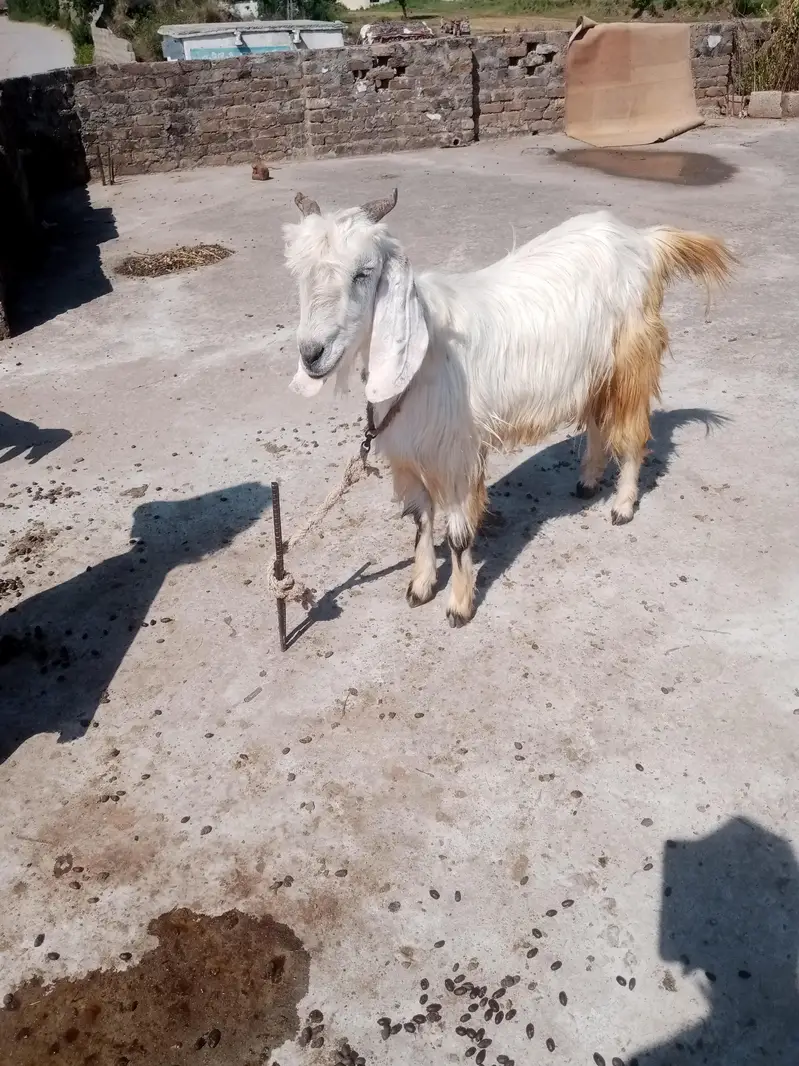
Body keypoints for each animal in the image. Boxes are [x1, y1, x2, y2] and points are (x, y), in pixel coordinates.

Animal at [284, 190, 733, 627]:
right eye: (301, 273)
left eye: (364, 272)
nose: (311, 354)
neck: (426, 351)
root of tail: (642, 240)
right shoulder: (408, 455)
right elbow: (420, 520)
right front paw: (421, 586)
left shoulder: (458, 456)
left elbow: (459, 536)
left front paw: (459, 606)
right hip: (591, 369)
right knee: (596, 421)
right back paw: (588, 481)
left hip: (630, 359)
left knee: (633, 430)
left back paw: (622, 505)